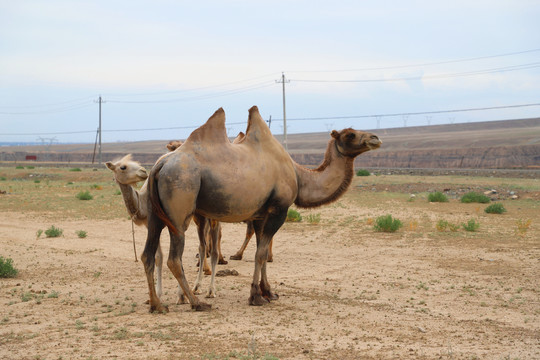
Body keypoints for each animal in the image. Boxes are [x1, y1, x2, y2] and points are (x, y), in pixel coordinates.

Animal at [142, 105, 380, 312]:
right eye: (349, 135)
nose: (375, 138)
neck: (299, 175)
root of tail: (159, 166)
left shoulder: (259, 214)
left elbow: (262, 252)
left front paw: (268, 292)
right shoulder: (279, 209)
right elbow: (260, 253)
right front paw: (256, 296)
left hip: (156, 215)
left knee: (148, 255)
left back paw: (157, 305)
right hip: (180, 204)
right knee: (174, 258)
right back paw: (196, 302)